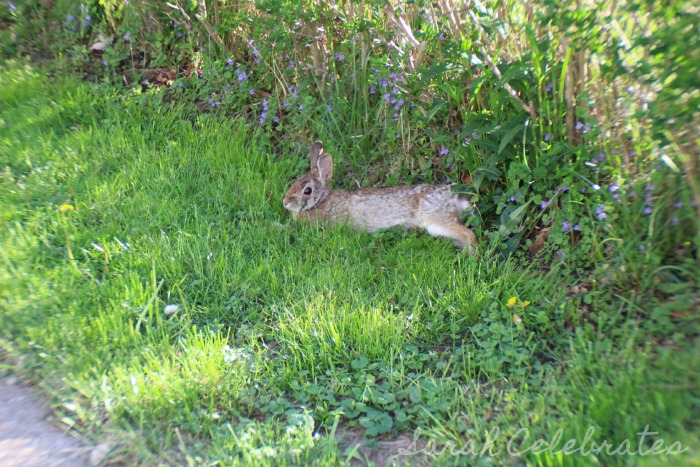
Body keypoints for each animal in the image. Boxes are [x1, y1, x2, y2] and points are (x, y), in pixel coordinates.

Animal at [283, 141, 479, 253]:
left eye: (307, 191)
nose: (285, 203)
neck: (322, 199)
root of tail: (453, 197)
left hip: (434, 218)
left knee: (468, 234)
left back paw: (470, 255)